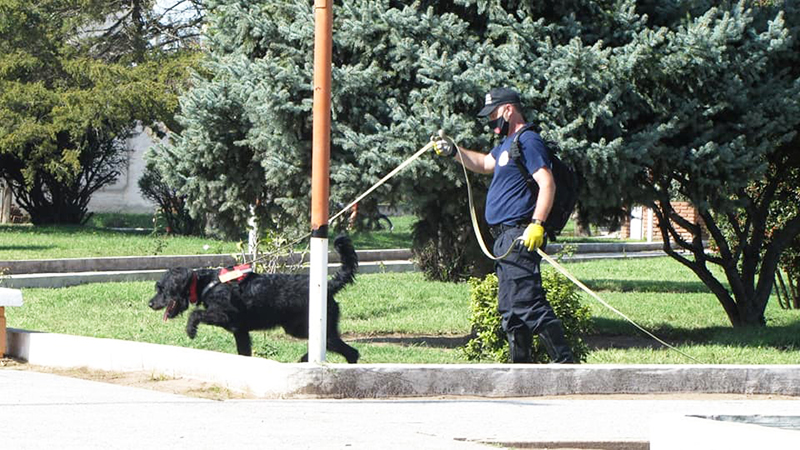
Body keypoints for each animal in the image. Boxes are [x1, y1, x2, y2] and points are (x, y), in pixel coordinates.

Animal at [149, 236, 360, 362]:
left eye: (162, 289)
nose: (150, 303)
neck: (206, 283)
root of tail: (329, 286)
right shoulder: (240, 331)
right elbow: (244, 353)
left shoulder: (224, 316)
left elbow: (196, 313)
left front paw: (191, 330)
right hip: (299, 327)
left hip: (312, 327)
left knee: (348, 350)